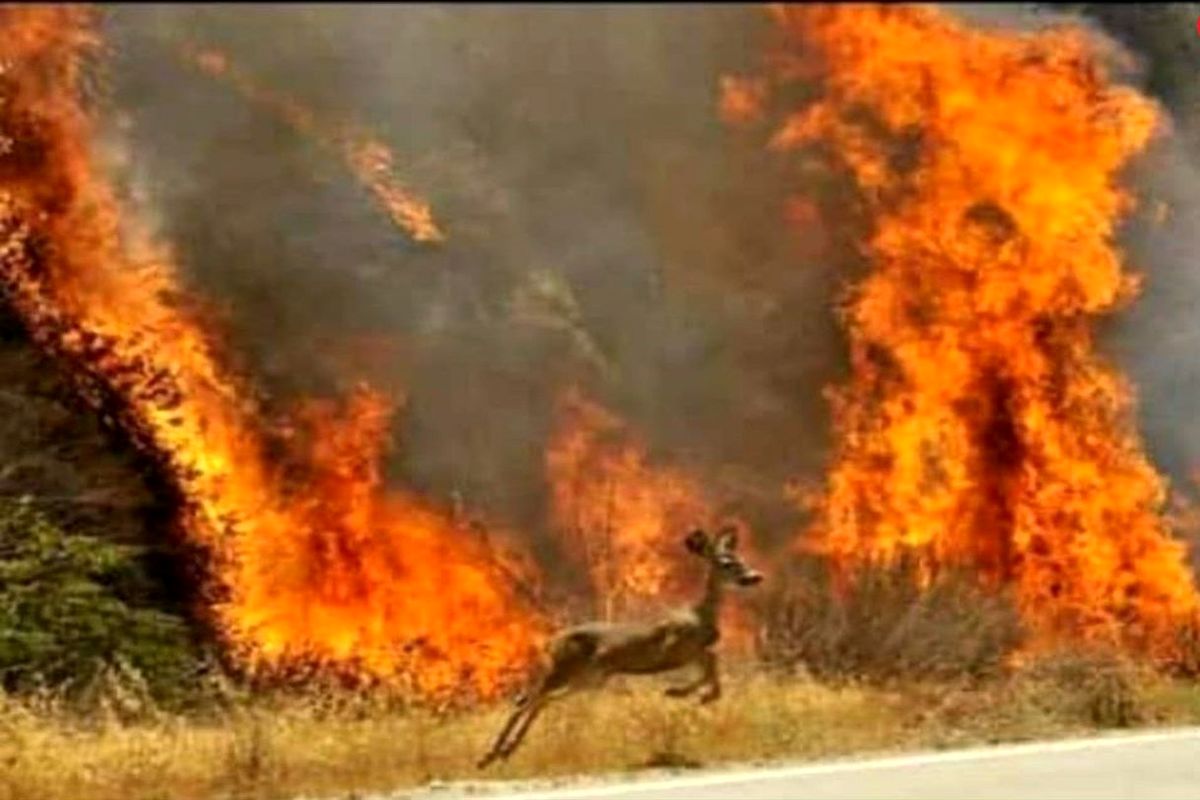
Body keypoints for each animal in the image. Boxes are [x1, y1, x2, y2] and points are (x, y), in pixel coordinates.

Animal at [475, 525, 758, 767]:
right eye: (727, 563)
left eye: (742, 559)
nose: (754, 576)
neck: (701, 616)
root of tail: (551, 642)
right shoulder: (676, 647)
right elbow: (711, 662)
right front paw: (686, 693)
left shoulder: (690, 652)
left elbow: (712, 664)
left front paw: (696, 694)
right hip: (565, 669)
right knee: (527, 700)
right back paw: (490, 755)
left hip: (589, 678)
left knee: (540, 699)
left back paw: (504, 752)